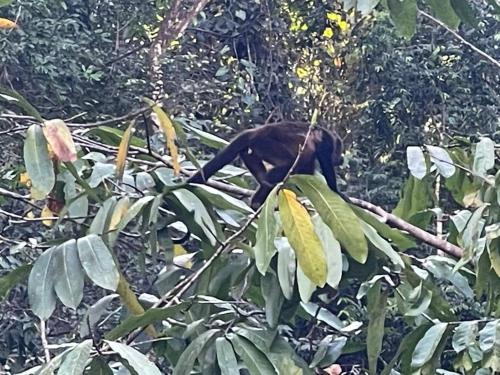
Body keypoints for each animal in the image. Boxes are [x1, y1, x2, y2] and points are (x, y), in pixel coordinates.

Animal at [188, 122, 348, 212]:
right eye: (339, 150)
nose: (341, 158)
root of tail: (255, 132)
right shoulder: (326, 143)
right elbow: (326, 167)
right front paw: (338, 193)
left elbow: (306, 173)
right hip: (266, 144)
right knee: (286, 164)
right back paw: (265, 190)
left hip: (254, 150)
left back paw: (258, 196)